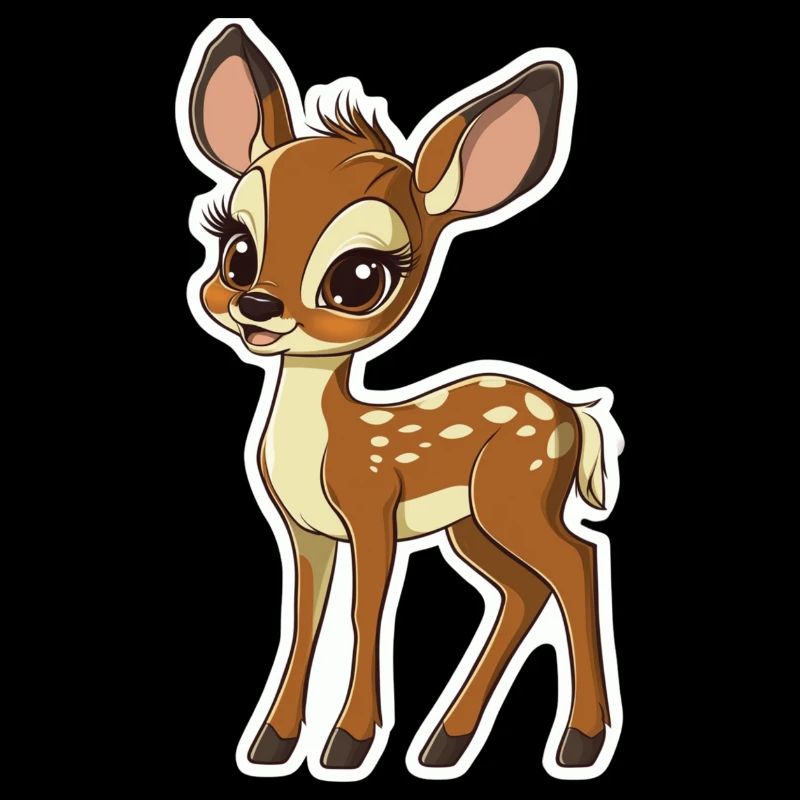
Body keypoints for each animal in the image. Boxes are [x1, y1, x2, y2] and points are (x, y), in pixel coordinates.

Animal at [179, 20, 622, 779]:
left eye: (360, 277)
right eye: (236, 249)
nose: (257, 306)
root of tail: (572, 412)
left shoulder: (372, 509)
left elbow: (367, 611)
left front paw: (348, 744)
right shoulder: (304, 529)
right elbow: (305, 617)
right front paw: (274, 743)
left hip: (518, 495)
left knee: (578, 563)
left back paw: (579, 742)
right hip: (473, 523)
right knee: (523, 589)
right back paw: (446, 743)